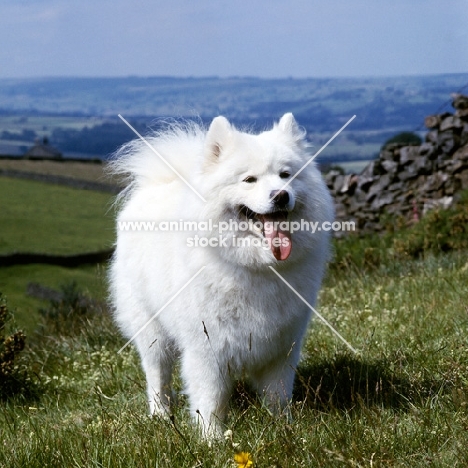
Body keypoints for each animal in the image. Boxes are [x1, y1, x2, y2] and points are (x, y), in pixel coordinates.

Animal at [109, 113, 332, 436]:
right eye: (249, 180)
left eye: (286, 175)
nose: (281, 195)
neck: (257, 268)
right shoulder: (207, 348)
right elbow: (210, 399)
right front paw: (212, 438)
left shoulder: (282, 347)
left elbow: (278, 395)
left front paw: (282, 430)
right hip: (151, 330)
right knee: (157, 375)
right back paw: (161, 415)